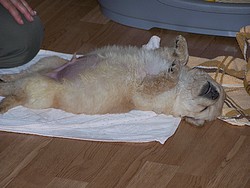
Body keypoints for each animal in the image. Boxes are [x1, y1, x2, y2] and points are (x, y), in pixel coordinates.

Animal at [0, 35, 226, 126]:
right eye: (217, 88)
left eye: (204, 111)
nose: (214, 93)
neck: (180, 89)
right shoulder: (160, 54)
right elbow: (181, 56)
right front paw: (181, 46)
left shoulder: (144, 90)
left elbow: (163, 80)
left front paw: (173, 72)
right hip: (48, 61)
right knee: (19, 75)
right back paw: (4, 75)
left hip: (36, 86)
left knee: (12, 93)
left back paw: (3, 95)